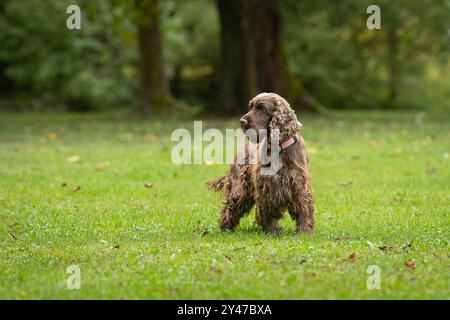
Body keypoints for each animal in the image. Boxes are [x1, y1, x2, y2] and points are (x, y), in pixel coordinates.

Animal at [207, 92, 312, 235]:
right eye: (250, 107)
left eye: (261, 108)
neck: (278, 147)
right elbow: (267, 209)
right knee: (230, 207)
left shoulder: (298, 183)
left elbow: (303, 208)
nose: (242, 122)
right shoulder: (264, 184)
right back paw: (226, 227)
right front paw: (273, 230)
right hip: (240, 188)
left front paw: (304, 230)